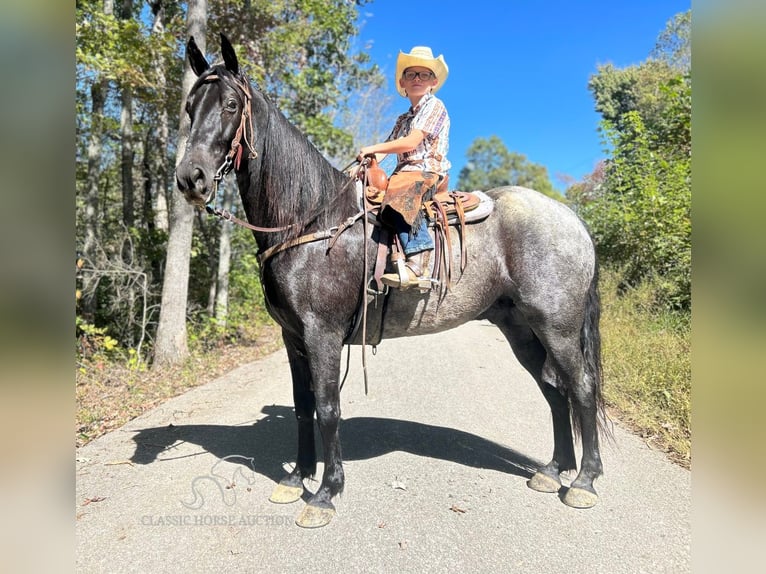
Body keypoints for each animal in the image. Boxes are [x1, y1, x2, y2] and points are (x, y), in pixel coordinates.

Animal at [176, 35, 612, 532]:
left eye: (230, 105)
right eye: (190, 107)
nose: (191, 178)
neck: (309, 220)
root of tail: (572, 219)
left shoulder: (323, 335)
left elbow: (328, 409)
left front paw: (325, 493)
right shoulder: (293, 338)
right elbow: (304, 406)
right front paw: (295, 479)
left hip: (558, 325)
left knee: (581, 388)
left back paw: (584, 481)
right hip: (521, 328)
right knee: (554, 389)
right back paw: (554, 470)